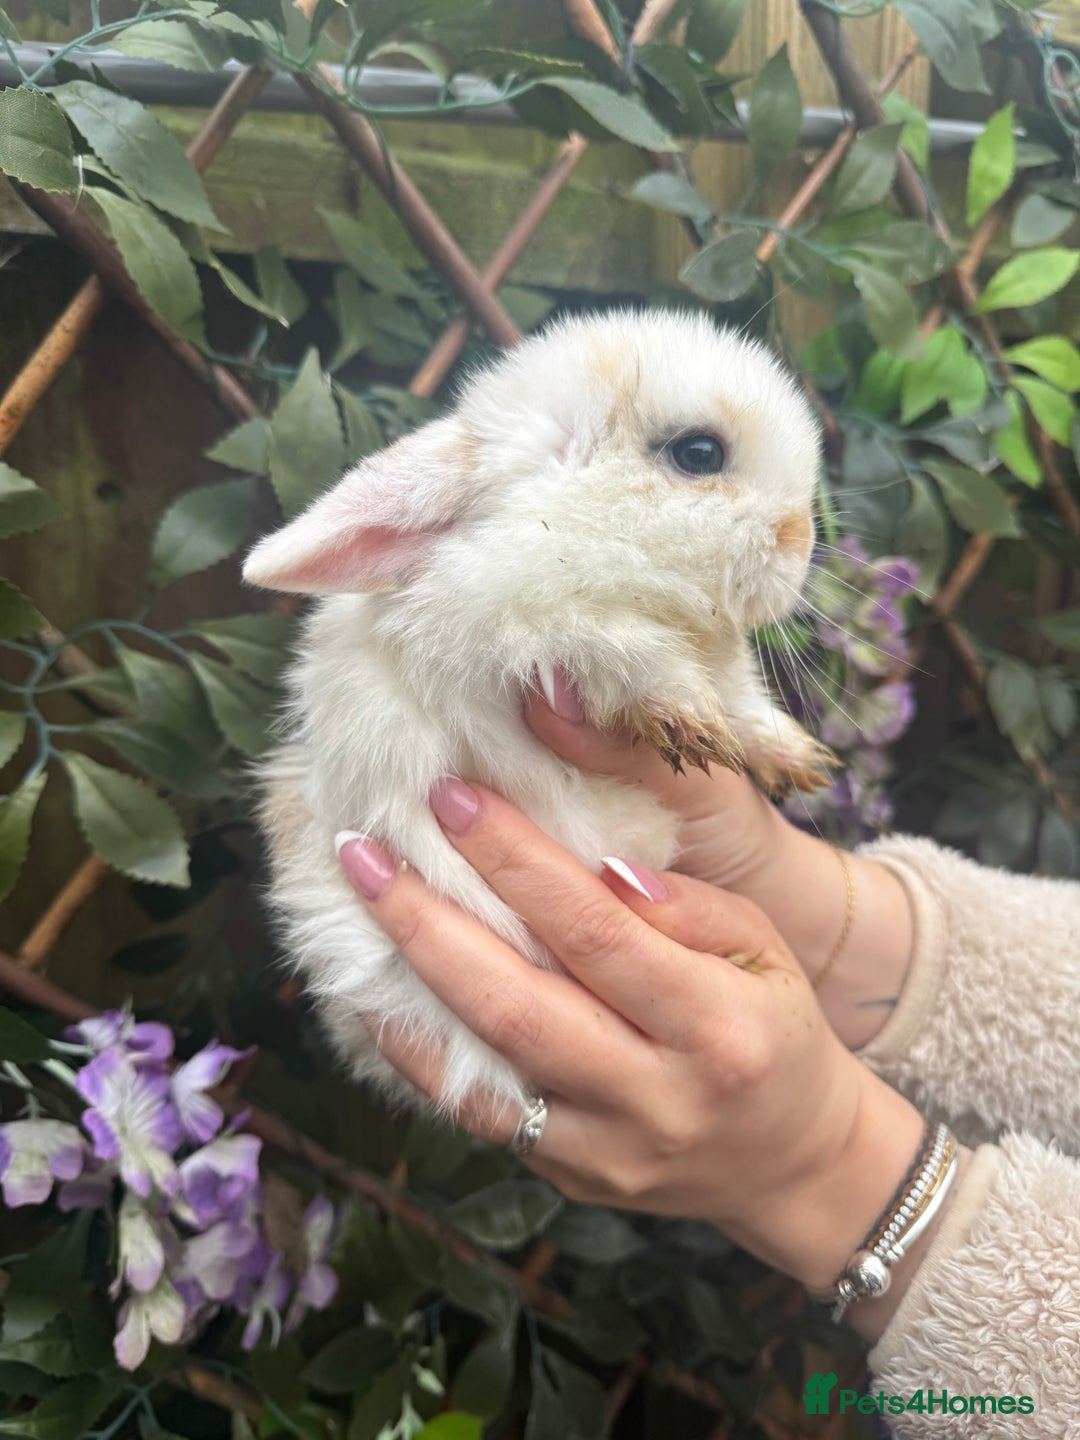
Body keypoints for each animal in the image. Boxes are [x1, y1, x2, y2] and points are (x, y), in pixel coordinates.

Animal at [242, 307, 833, 1120]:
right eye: (699, 453)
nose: (800, 540)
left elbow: (745, 704)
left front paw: (794, 759)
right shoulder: (530, 630)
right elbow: (620, 649)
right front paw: (683, 717)